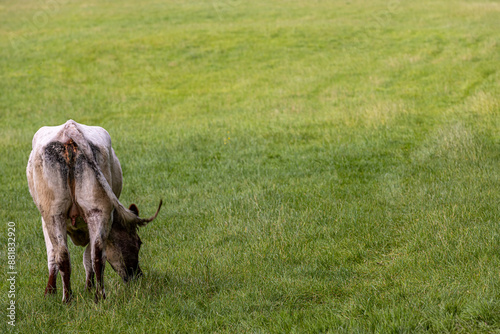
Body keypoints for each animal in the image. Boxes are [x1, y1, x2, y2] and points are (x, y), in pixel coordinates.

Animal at [26, 119, 161, 302]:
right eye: (138, 243)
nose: (137, 276)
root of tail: (70, 128)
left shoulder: (45, 221)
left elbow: (66, 257)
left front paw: (54, 291)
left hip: (59, 213)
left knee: (74, 254)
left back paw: (75, 298)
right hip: (91, 210)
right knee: (91, 254)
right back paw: (92, 297)